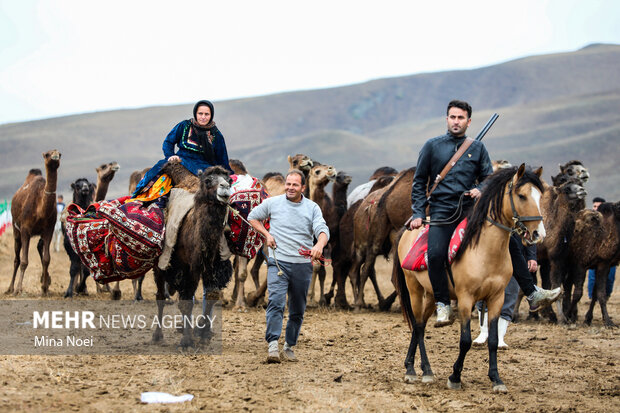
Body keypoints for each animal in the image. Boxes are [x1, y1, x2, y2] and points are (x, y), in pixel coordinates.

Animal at [6, 150, 61, 294]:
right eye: (47, 154)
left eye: (60, 154)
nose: (55, 155)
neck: (40, 210)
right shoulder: (25, 229)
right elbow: (24, 261)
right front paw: (18, 289)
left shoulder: (49, 229)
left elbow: (47, 259)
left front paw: (44, 289)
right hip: (15, 229)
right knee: (16, 259)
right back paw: (10, 288)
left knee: (39, 248)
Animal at [152, 166, 232, 346]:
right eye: (208, 180)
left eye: (229, 179)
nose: (225, 187)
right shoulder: (189, 267)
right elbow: (186, 303)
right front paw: (187, 341)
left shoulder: (212, 266)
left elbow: (211, 295)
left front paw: (202, 333)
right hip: (161, 264)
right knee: (160, 296)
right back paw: (157, 335)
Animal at [394, 163, 544, 392]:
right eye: (521, 196)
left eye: (540, 196)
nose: (538, 234)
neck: (484, 250)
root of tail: (409, 228)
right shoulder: (465, 298)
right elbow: (465, 340)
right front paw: (455, 376)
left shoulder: (496, 298)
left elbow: (493, 340)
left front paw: (496, 379)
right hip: (414, 289)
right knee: (418, 326)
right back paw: (419, 371)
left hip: (433, 293)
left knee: (420, 325)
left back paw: (414, 366)